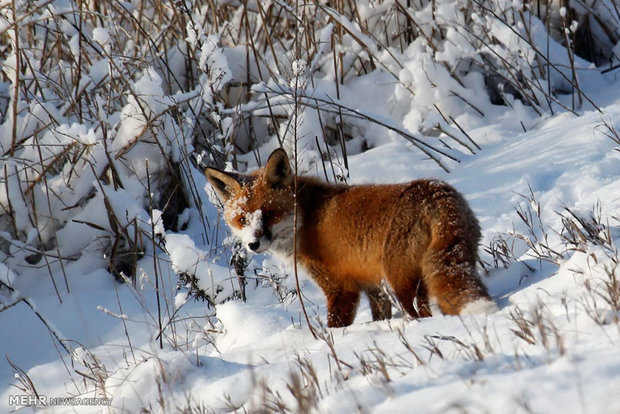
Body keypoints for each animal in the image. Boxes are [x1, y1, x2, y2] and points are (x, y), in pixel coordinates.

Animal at [206, 149, 496, 326]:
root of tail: (437, 194)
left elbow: (335, 326)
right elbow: (380, 316)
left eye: (269, 214)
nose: (253, 244)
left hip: (400, 281)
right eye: (242, 219)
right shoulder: (373, 287)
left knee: (418, 313)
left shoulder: (340, 289)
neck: (305, 218)